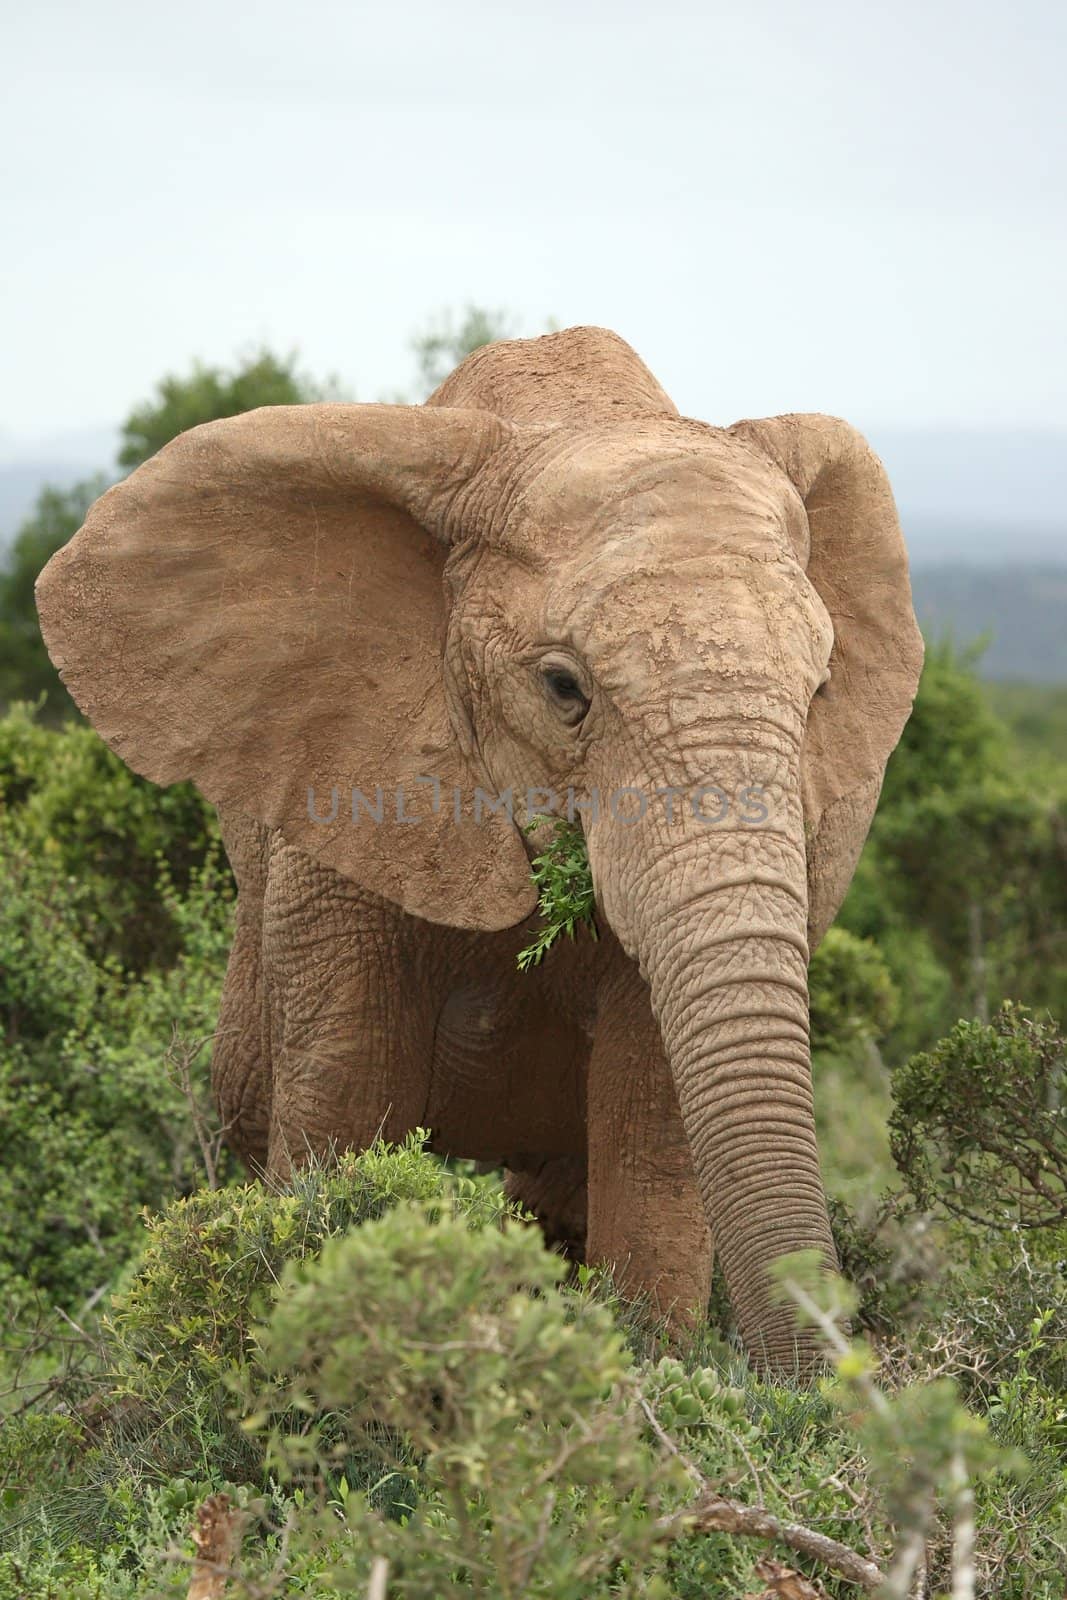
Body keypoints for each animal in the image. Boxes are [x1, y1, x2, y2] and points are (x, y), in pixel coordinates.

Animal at [29, 328, 921, 1376]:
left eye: (819, 691)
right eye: (563, 687)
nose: (834, 1385)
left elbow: (653, 1121)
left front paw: (647, 1363)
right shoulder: (341, 792)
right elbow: (345, 1099)